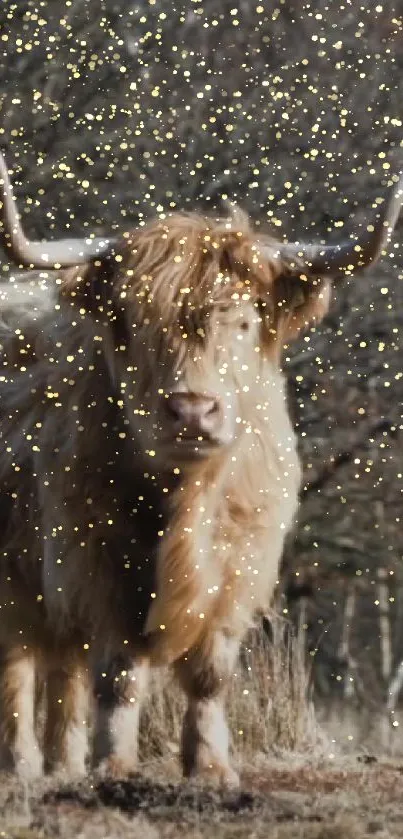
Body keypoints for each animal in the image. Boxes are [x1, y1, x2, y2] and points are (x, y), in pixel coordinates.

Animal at [0, 153, 402, 788]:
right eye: (138, 323)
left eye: (242, 323)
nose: (192, 409)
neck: (187, 495)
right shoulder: (96, 557)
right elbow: (118, 672)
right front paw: (114, 764)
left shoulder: (243, 559)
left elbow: (210, 673)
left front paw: (211, 768)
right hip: (19, 573)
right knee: (20, 664)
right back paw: (23, 765)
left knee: (63, 666)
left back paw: (64, 765)